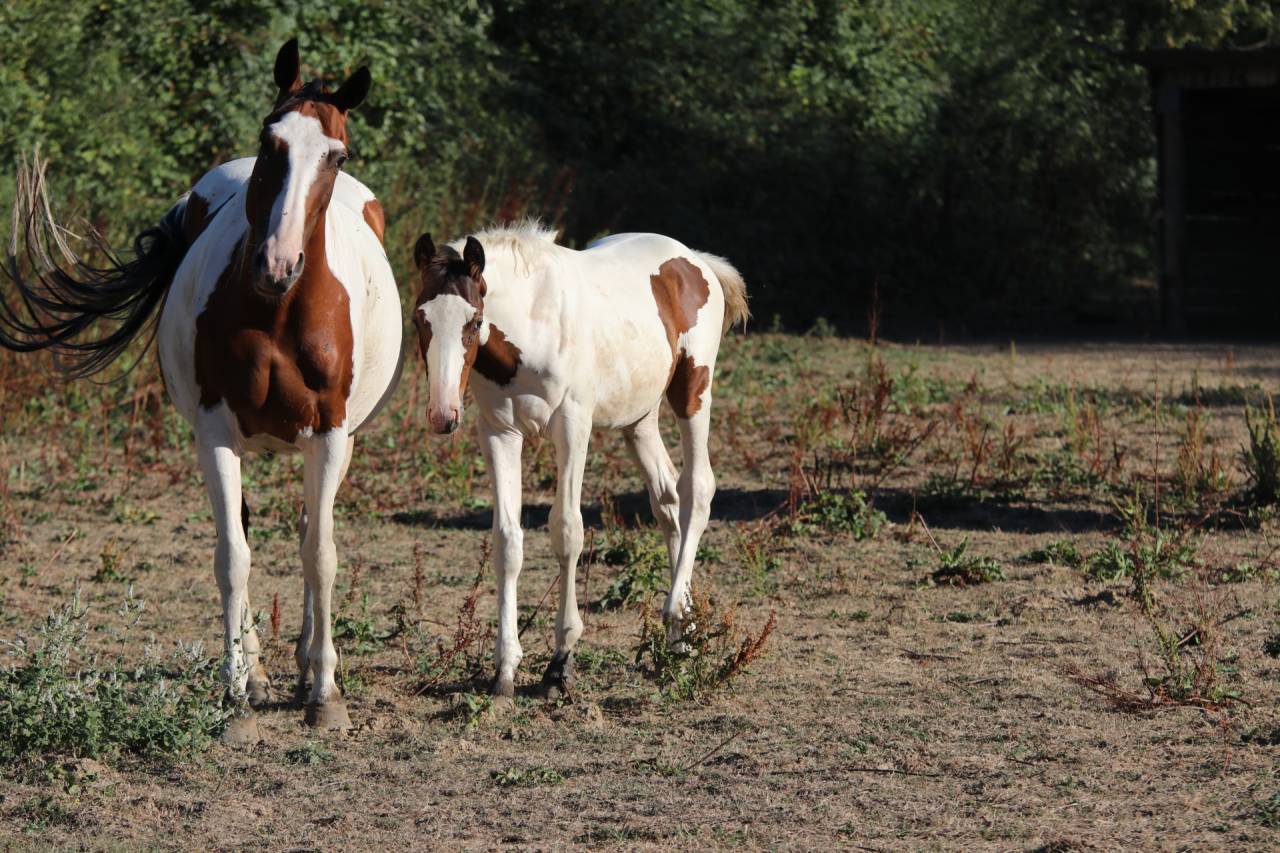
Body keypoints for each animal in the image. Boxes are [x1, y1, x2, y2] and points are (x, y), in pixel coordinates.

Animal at [0, 40, 402, 741]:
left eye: (338, 154)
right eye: (271, 140)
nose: (277, 264)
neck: (278, 312)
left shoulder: (329, 434)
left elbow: (320, 555)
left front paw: (326, 694)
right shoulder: (216, 431)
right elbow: (233, 556)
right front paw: (236, 693)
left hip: (335, 442)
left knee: (308, 531)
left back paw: (304, 666)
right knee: (245, 530)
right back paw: (264, 672)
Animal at [409, 223, 747, 701]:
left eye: (474, 321)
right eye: (419, 319)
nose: (443, 415)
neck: (533, 324)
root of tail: (696, 260)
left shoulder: (572, 426)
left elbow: (567, 531)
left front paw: (559, 663)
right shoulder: (499, 432)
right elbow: (507, 541)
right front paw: (505, 668)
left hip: (692, 392)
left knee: (696, 491)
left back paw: (675, 615)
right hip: (639, 418)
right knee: (666, 500)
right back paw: (680, 641)